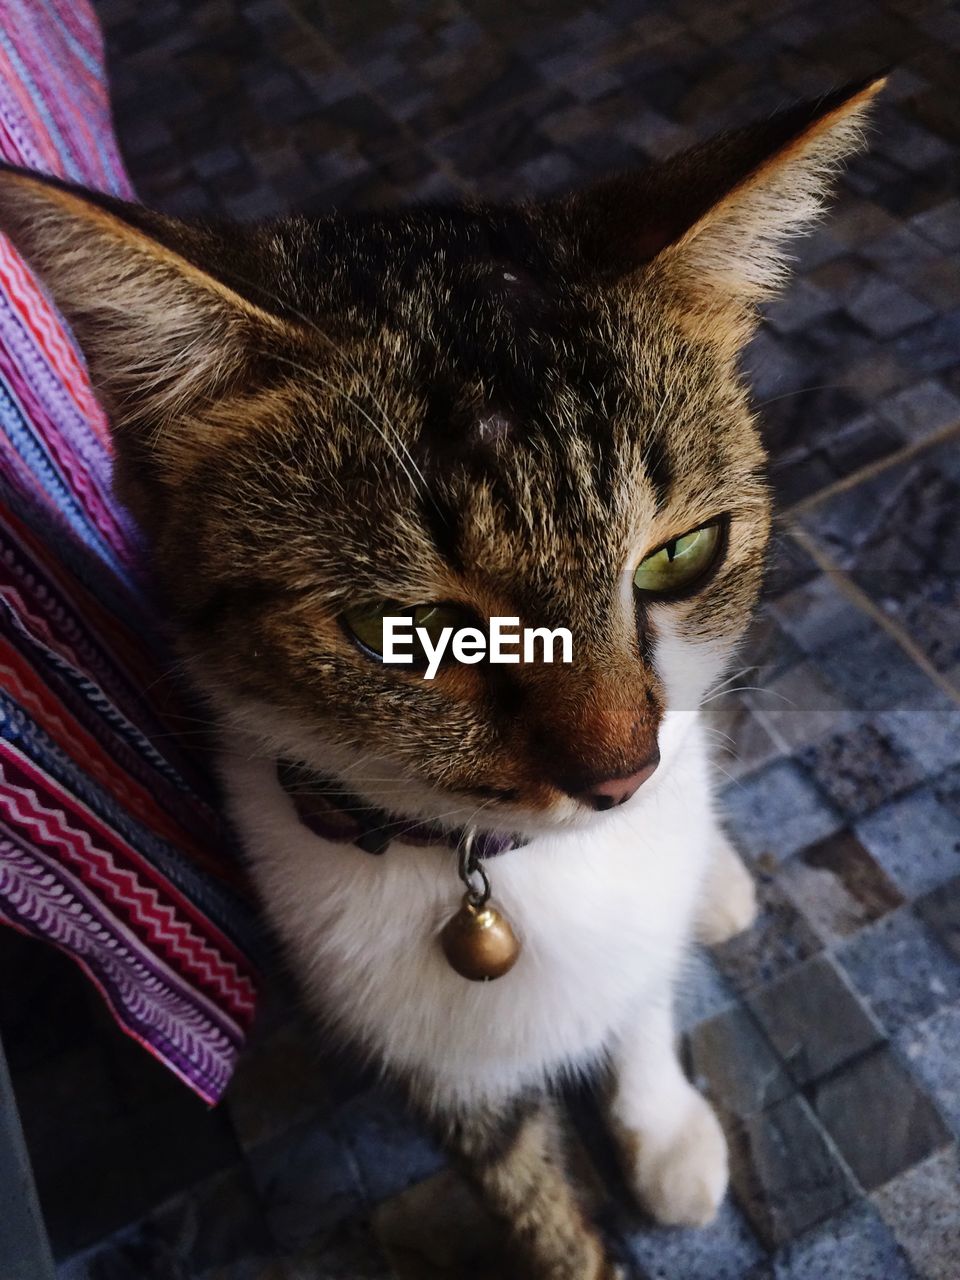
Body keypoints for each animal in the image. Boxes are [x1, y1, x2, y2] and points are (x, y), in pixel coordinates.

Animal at [0, 77, 885, 1280]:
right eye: (409, 628)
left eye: (679, 556)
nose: (617, 776)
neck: (511, 868)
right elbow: (519, 1182)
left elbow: (640, 995)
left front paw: (663, 1122)